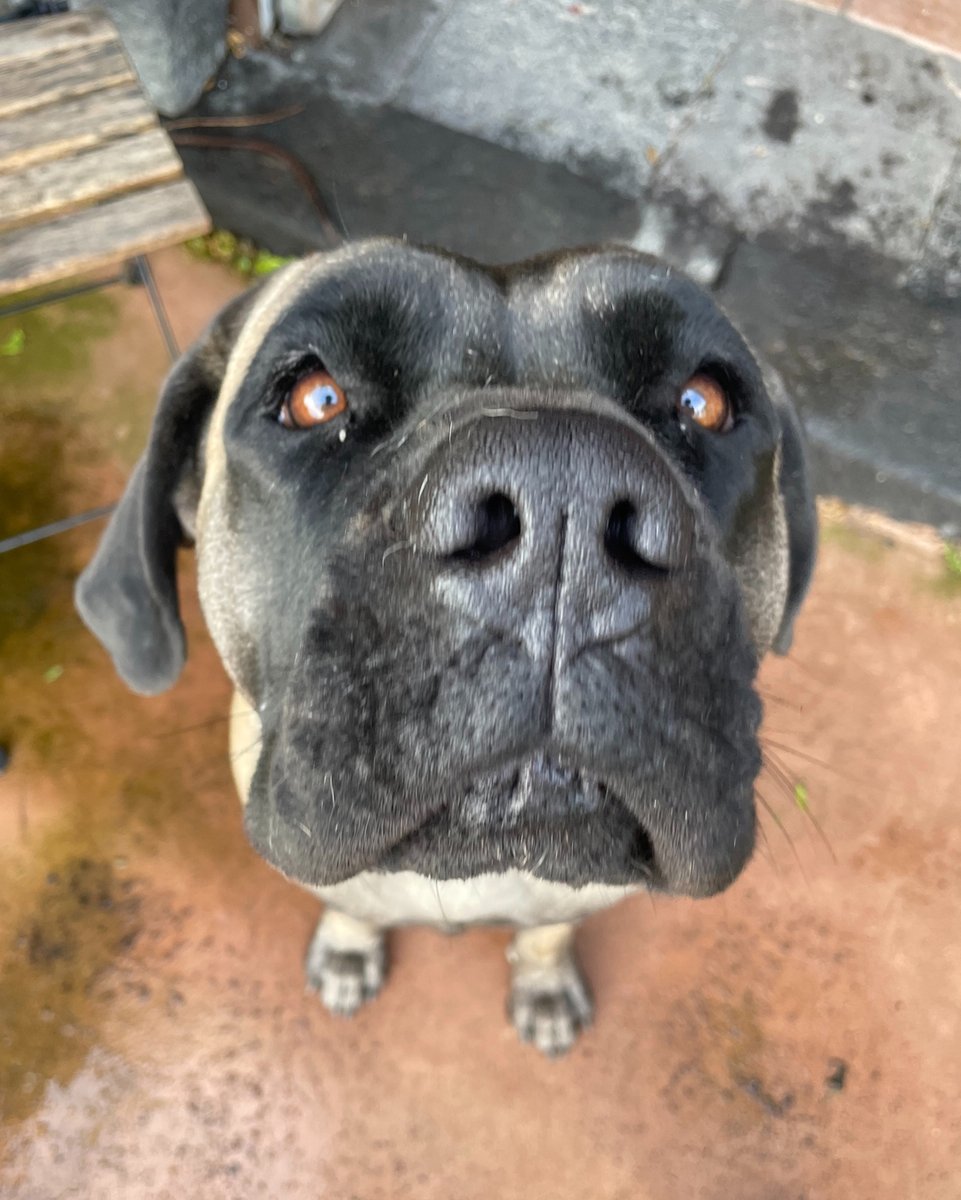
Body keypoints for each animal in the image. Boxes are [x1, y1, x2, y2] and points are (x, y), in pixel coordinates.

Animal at [74, 238, 815, 1056]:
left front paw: (544, 983)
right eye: (315, 399)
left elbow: (548, 932)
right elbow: (349, 901)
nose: (563, 493)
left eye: (701, 403)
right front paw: (349, 948)